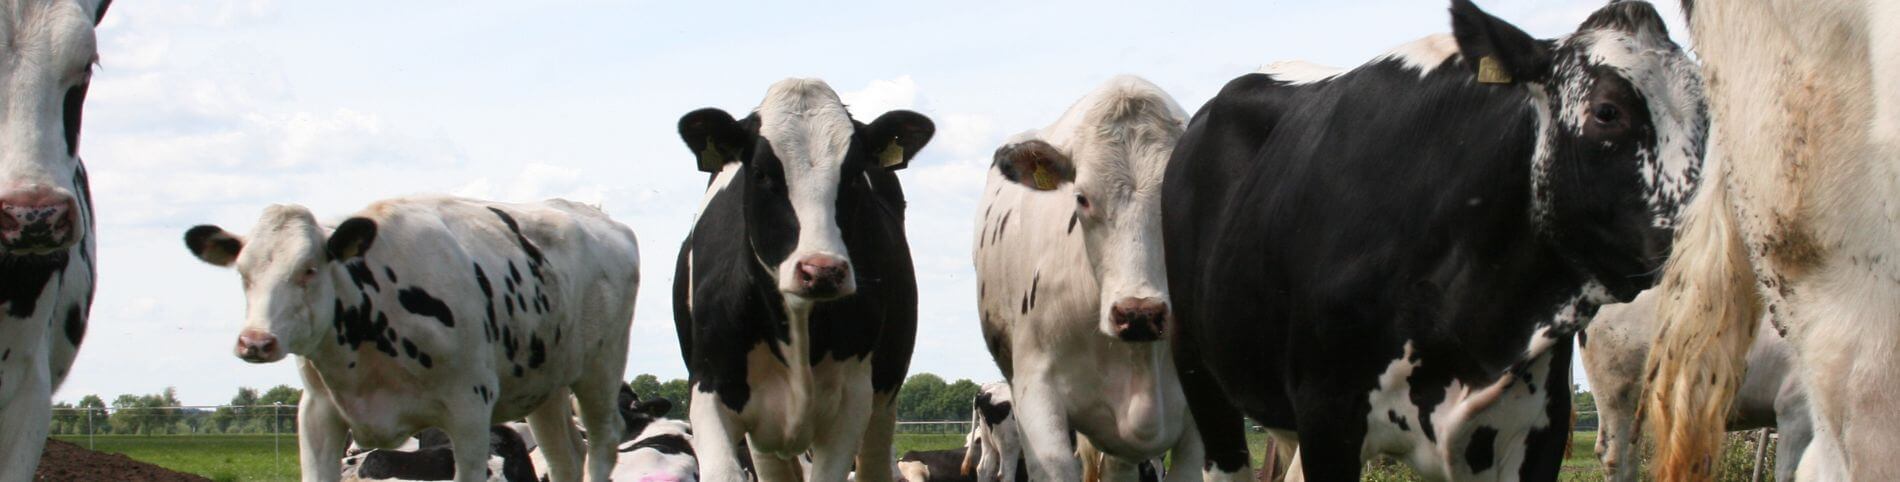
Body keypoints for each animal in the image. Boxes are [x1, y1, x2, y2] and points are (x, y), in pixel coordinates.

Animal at [184, 195, 641, 482]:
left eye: (309, 269)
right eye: (244, 274)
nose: (255, 342)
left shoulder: (470, 410)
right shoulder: (317, 411)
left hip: (601, 371)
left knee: (602, 444)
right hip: (544, 385)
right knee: (566, 457)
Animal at [672, 78, 933, 482]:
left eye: (854, 175)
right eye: (762, 173)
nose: (822, 270)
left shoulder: (852, 404)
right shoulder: (709, 387)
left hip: (882, 400)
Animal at [1162, 1, 1707, 480]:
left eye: (1707, 118)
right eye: (1607, 112)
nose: (1695, 244)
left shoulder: (1538, 430)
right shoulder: (1327, 416)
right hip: (1200, 374)